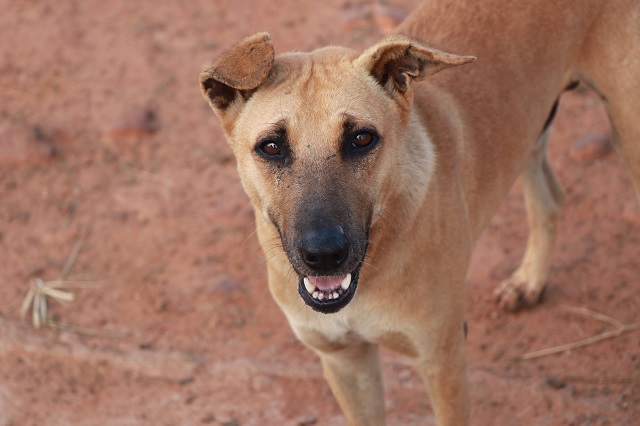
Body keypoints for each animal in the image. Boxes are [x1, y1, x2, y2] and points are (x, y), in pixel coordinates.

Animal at [200, 1, 640, 424]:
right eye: (271, 146)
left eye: (362, 138)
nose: (324, 255)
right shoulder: (345, 362)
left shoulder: (443, 359)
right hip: (528, 125)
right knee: (549, 195)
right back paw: (530, 281)